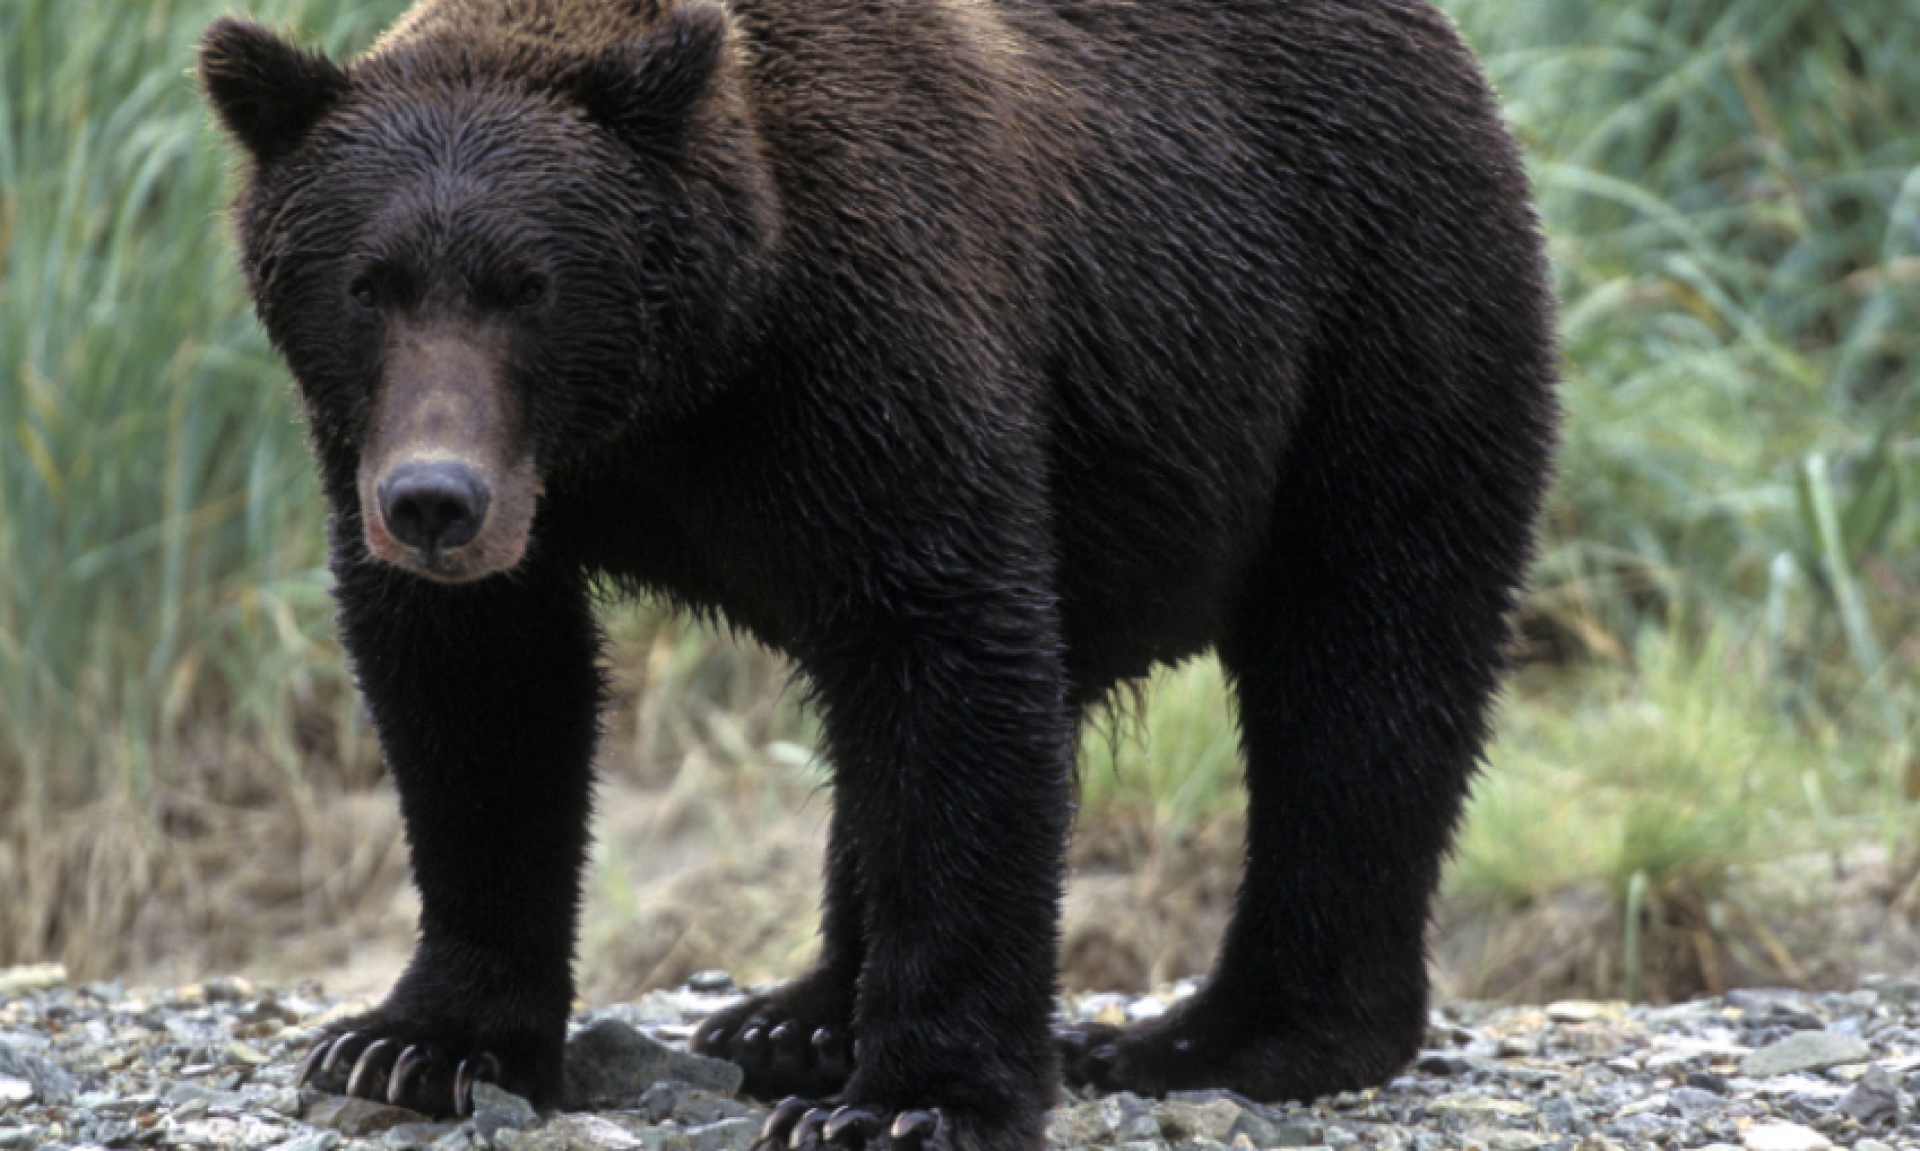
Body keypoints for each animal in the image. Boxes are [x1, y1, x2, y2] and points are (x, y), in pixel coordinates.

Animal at [202, 0, 1559, 1145]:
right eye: (370, 284)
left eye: (526, 285)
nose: (435, 499)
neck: (681, 384)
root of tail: (1455, 58)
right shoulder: (463, 470)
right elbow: (477, 699)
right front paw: (413, 1044)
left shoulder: (878, 359)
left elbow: (949, 662)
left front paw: (914, 1100)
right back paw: (793, 1015)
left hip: (1376, 329)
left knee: (1358, 672)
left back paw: (1238, 1032)